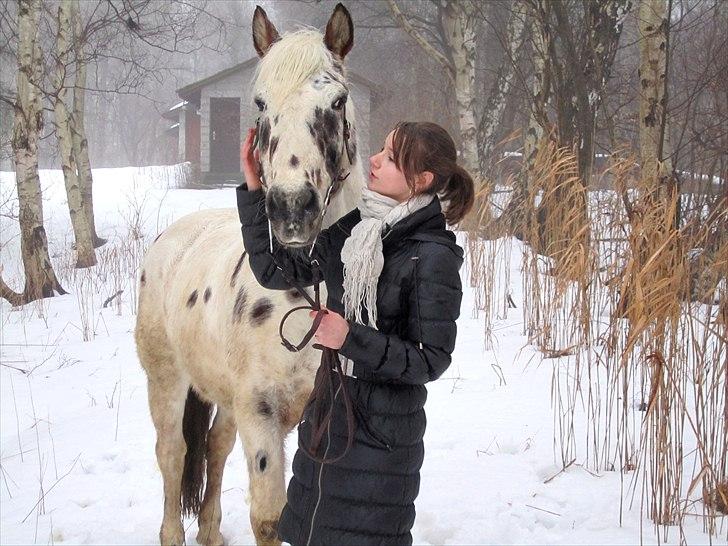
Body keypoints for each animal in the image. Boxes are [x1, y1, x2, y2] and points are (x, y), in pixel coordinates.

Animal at [135, 5, 362, 544]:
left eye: (338, 100)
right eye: (260, 103)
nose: (292, 210)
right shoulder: (261, 413)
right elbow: (269, 518)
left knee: (214, 447)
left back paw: (210, 533)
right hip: (167, 381)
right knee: (172, 455)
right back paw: (174, 533)